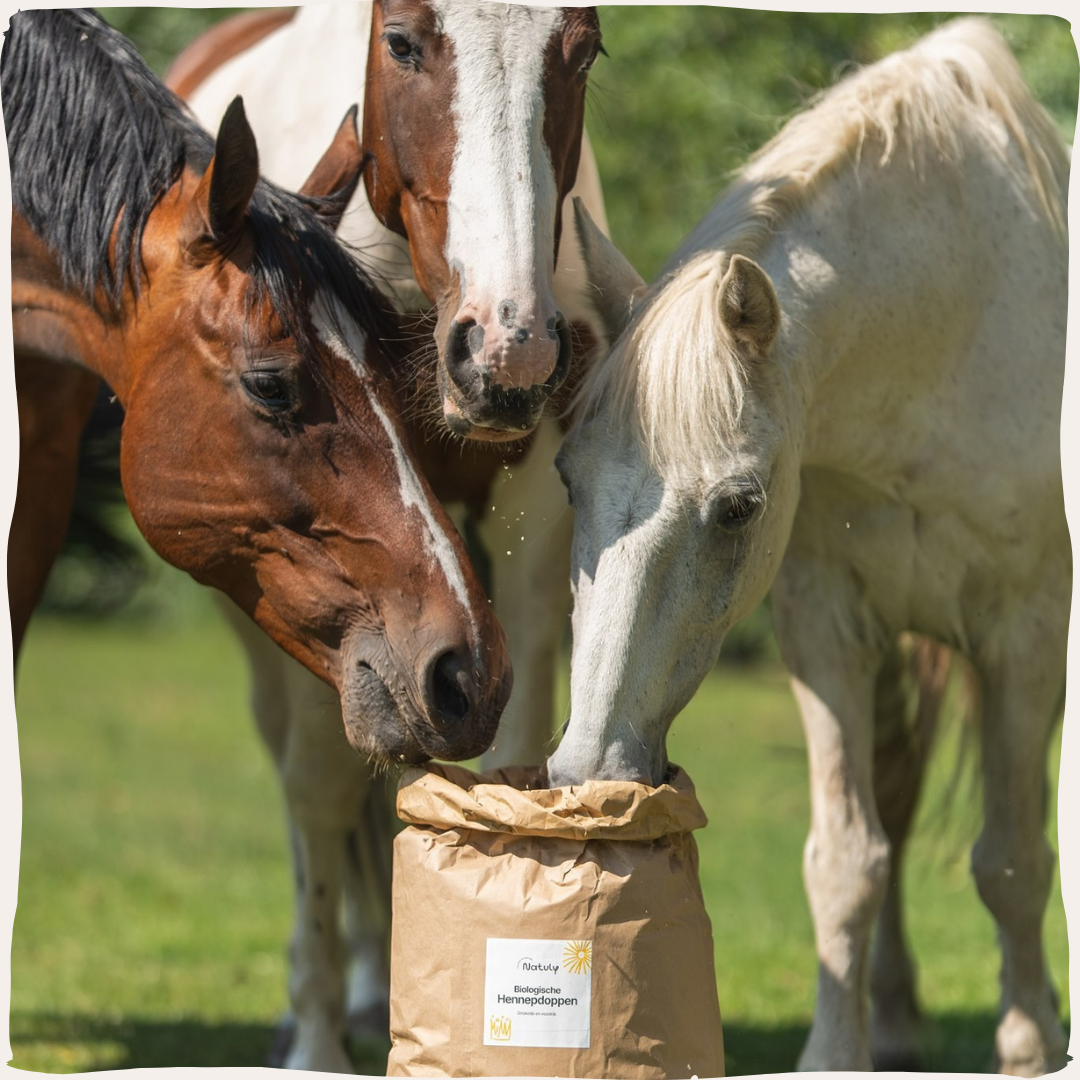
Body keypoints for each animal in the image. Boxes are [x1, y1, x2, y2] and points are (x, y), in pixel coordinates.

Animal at [165, 3, 606, 1068]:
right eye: (402, 40)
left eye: (584, 51)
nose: (507, 352)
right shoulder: (298, 570)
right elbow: (325, 785)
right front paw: (318, 1038)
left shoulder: (526, 534)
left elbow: (507, 750)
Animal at [549, 18, 1069, 1076]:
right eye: (567, 477)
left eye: (738, 507)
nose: (587, 770)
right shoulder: (828, 630)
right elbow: (845, 861)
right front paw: (840, 1050)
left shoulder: (1026, 639)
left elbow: (1011, 861)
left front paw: (1031, 1043)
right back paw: (897, 1018)